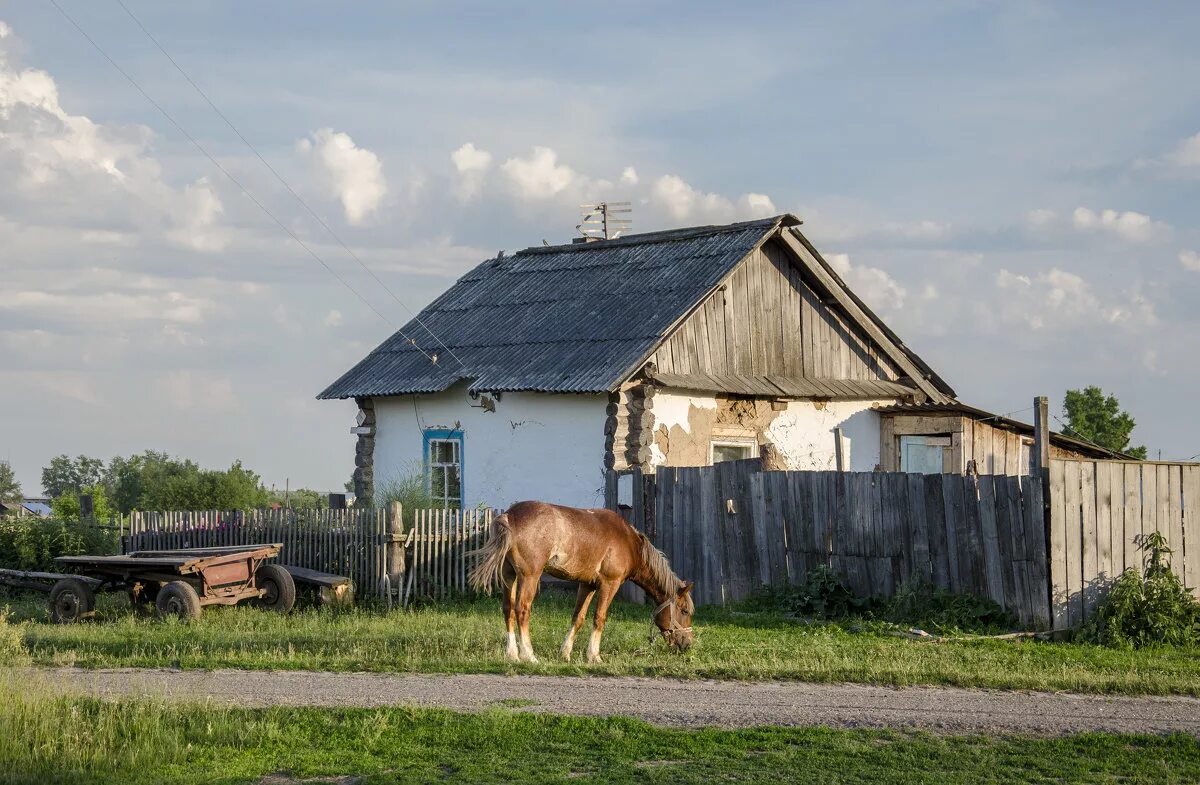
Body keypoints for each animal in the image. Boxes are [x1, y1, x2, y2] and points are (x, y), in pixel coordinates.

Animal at [465, 504, 696, 662]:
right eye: (684, 611)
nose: (687, 644)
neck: (629, 542)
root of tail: (510, 515)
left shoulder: (588, 585)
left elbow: (578, 617)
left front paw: (565, 653)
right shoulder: (610, 584)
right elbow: (599, 618)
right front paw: (594, 656)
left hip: (509, 576)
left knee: (508, 609)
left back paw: (512, 654)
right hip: (529, 576)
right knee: (522, 610)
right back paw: (529, 655)